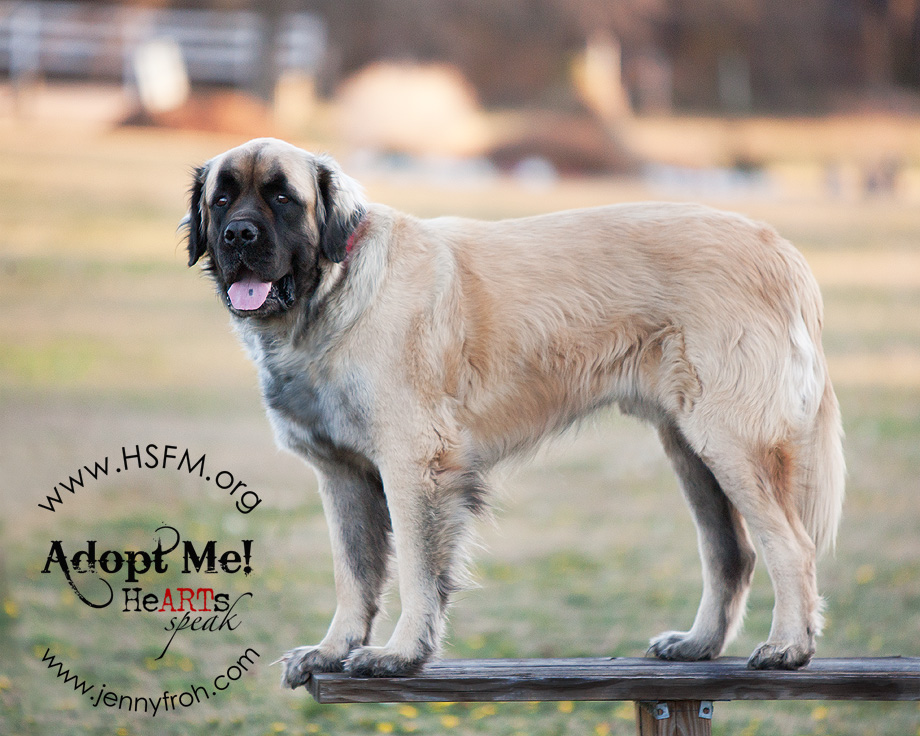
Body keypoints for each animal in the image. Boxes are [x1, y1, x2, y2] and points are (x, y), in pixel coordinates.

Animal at [183, 139, 844, 684]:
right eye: (222, 199)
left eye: (282, 198)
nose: (239, 236)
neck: (332, 293)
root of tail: (780, 248)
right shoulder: (342, 474)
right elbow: (355, 573)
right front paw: (331, 650)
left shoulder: (414, 463)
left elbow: (418, 571)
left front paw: (399, 653)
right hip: (689, 447)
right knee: (731, 552)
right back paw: (699, 645)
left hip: (730, 441)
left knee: (791, 546)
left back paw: (788, 647)